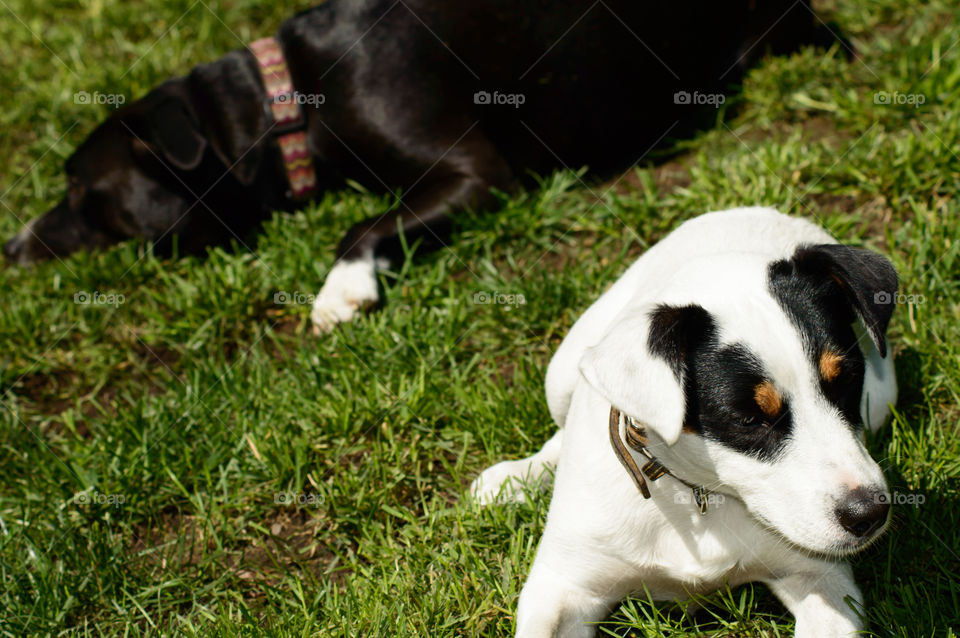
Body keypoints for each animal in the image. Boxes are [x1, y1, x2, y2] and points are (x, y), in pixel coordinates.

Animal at [7, 0, 844, 330]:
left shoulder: (472, 173)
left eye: (78, 189)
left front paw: (339, 291)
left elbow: (360, 226)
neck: (290, 100)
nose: (10, 245)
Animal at [472, 208, 900, 636]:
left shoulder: (822, 578)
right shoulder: (563, 586)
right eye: (748, 419)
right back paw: (512, 479)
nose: (870, 514)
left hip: (882, 397)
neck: (697, 494)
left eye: (847, 381)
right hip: (563, 369)